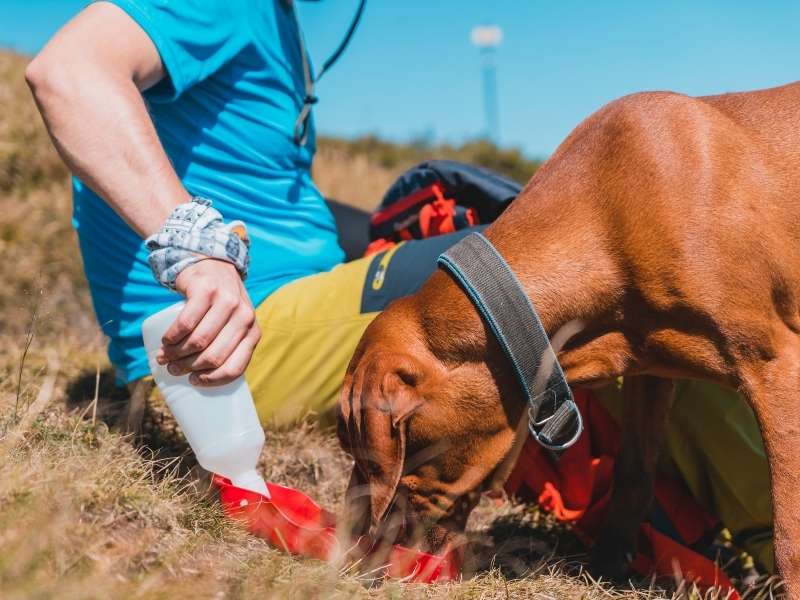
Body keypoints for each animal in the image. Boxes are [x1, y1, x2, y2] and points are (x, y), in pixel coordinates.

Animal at [338, 83, 800, 592]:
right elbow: (633, 477)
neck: (608, 216)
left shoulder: (777, 369)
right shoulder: (650, 373)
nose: (350, 549)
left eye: (371, 452)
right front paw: (607, 567)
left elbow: (788, 533)